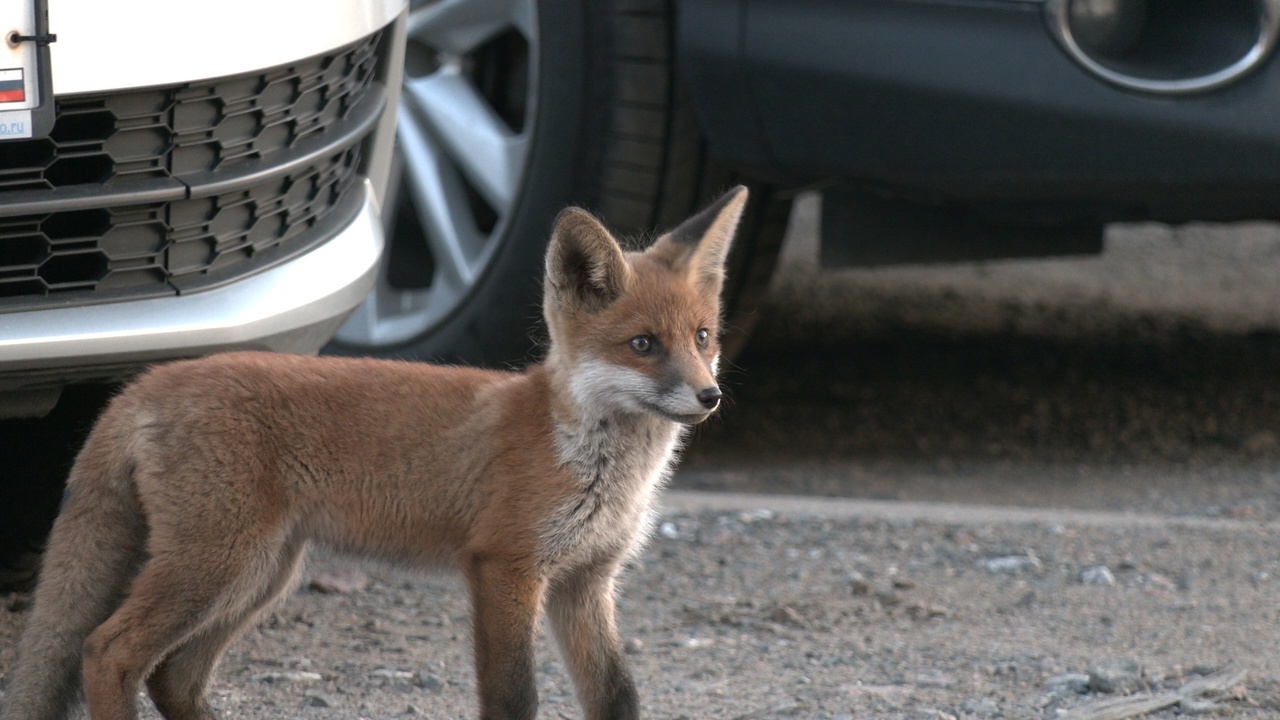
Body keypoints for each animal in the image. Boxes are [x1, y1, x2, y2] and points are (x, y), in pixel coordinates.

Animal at [0, 185, 747, 717]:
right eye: (643, 345)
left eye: (703, 337)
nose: (709, 396)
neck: (593, 463)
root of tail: (147, 380)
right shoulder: (505, 568)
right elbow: (514, 697)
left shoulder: (585, 581)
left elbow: (618, 695)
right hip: (215, 564)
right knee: (109, 652)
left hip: (260, 573)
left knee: (174, 678)